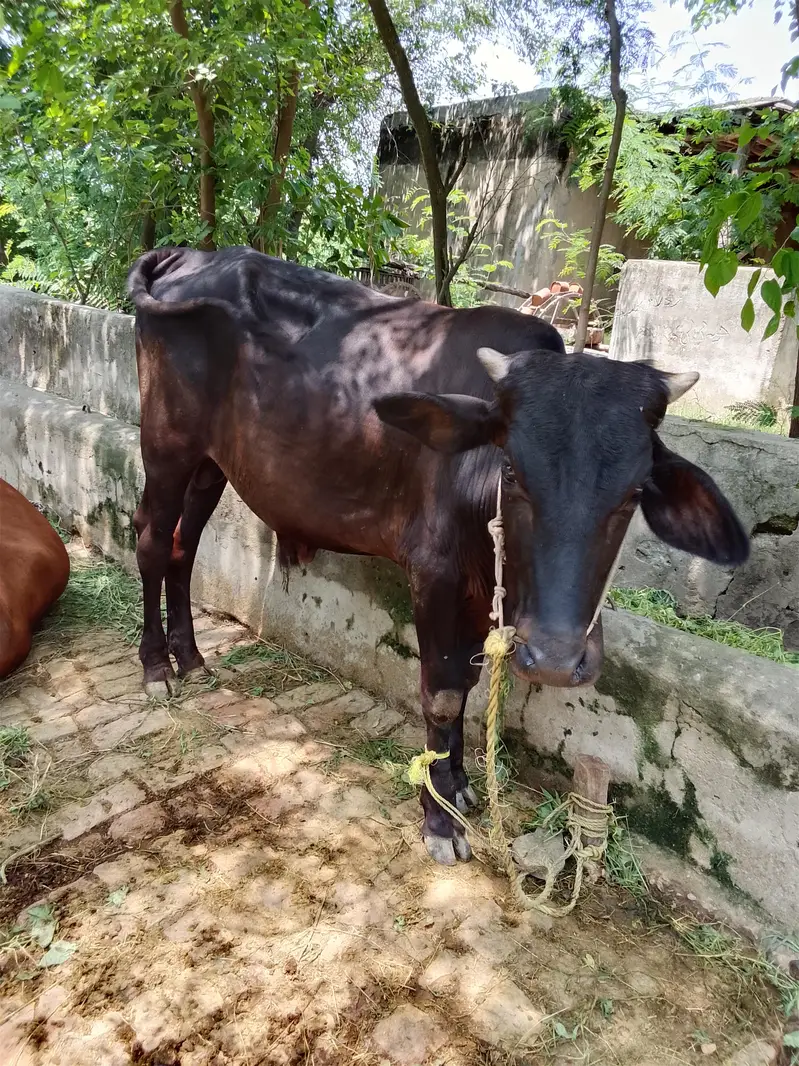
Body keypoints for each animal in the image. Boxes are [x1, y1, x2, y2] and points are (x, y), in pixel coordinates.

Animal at [127, 247, 749, 866]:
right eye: (512, 471)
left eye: (635, 491)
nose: (554, 658)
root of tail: (192, 255)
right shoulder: (433, 573)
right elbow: (443, 696)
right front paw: (439, 819)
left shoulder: (477, 594)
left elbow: (467, 685)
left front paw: (460, 785)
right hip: (166, 445)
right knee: (153, 542)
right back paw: (157, 668)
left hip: (211, 464)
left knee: (184, 547)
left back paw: (191, 657)